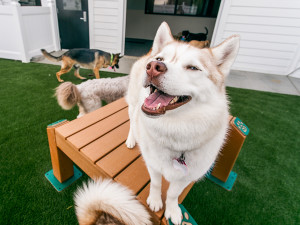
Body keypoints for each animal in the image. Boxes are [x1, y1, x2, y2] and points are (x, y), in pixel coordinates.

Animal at [125, 22, 240, 224]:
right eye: (161, 59)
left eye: (193, 68)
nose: (153, 66)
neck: (176, 133)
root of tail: (149, 52)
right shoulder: (152, 164)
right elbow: (156, 183)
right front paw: (155, 201)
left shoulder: (188, 175)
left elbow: (173, 194)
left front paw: (172, 210)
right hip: (133, 104)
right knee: (132, 120)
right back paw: (132, 139)